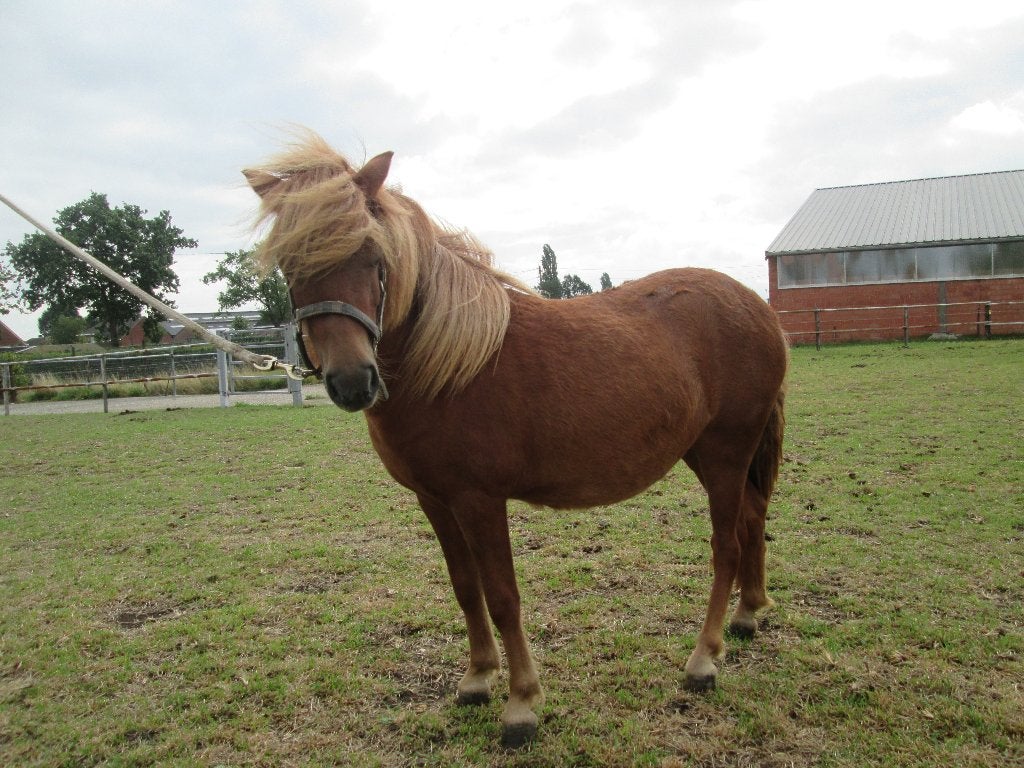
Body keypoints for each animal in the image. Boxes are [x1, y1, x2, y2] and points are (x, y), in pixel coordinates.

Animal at [243, 133, 788, 748]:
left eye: (373, 257)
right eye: (289, 264)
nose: (352, 380)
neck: (447, 364)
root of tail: (760, 309)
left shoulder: (480, 500)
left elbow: (503, 596)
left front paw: (521, 704)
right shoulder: (435, 499)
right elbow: (464, 587)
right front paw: (478, 678)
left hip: (725, 453)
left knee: (727, 546)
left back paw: (703, 661)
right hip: (711, 454)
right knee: (753, 519)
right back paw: (748, 616)